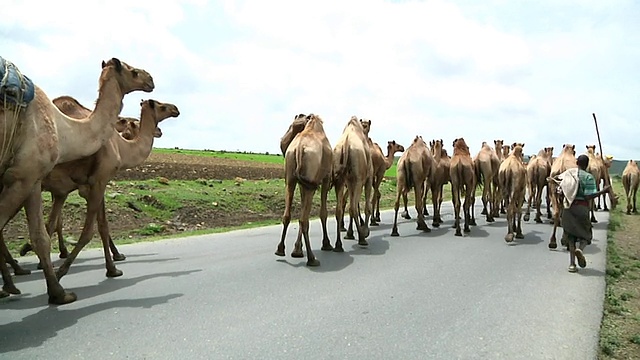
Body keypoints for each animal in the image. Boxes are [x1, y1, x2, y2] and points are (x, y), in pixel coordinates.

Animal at [276, 114, 336, 266]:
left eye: (294, 125)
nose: (282, 141)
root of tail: (298, 149)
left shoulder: (303, 183)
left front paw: (297, 250)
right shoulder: (325, 178)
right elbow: (323, 213)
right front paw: (326, 244)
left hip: (291, 180)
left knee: (288, 215)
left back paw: (280, 249)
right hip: (310, 181)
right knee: (304, 219)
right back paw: (312, 258)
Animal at [332, 116, 372, 249]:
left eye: (366, 125)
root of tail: (346, 144)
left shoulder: (349, 181)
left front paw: (349, 233)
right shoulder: (368, 178)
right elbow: (367, 207)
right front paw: (365, 232)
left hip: (340, 179)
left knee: (340, 208)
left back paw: (338, 245)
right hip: (358, 180)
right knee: (353, 207)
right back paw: (362, 238)